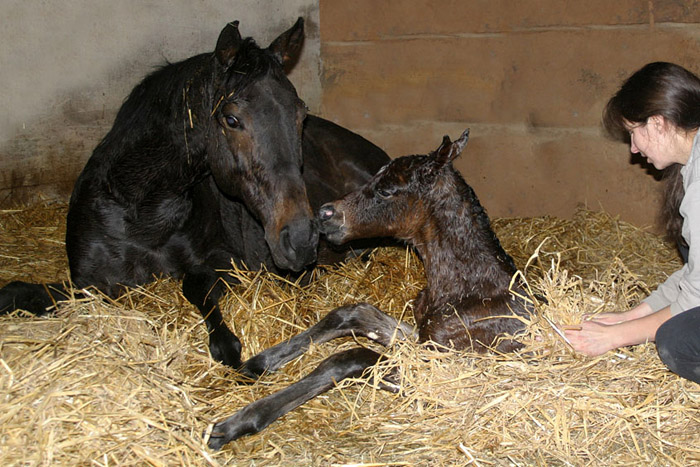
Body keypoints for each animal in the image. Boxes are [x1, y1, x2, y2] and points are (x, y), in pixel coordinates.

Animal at [206, 129, 532, 450]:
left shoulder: (445, 375)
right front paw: (256, 364)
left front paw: (237, 422)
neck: (472, 288)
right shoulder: (421, 339)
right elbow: (355, 313)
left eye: (386, 190)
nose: (324, 214)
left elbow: (348, 357)